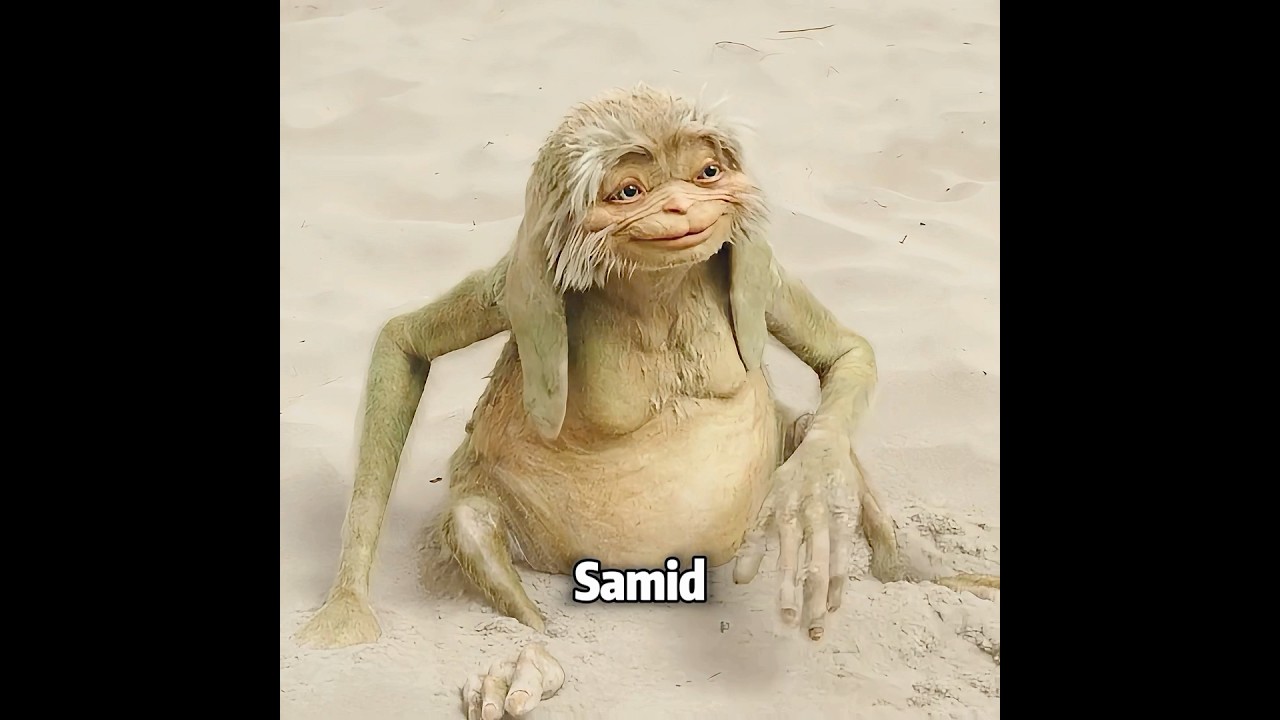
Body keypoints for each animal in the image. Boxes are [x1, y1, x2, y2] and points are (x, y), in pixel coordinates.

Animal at [293, 84, 999, 719]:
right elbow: (403, 341)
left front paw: (813, 493)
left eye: (707, 172)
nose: (684, 206)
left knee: (809, 430)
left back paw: (919, 569)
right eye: (628, 191)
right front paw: (345, 610)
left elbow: (847, 356)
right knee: (471, 520)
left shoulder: (761, 279)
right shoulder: (516, 284)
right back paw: (532, 637)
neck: (659, 292)